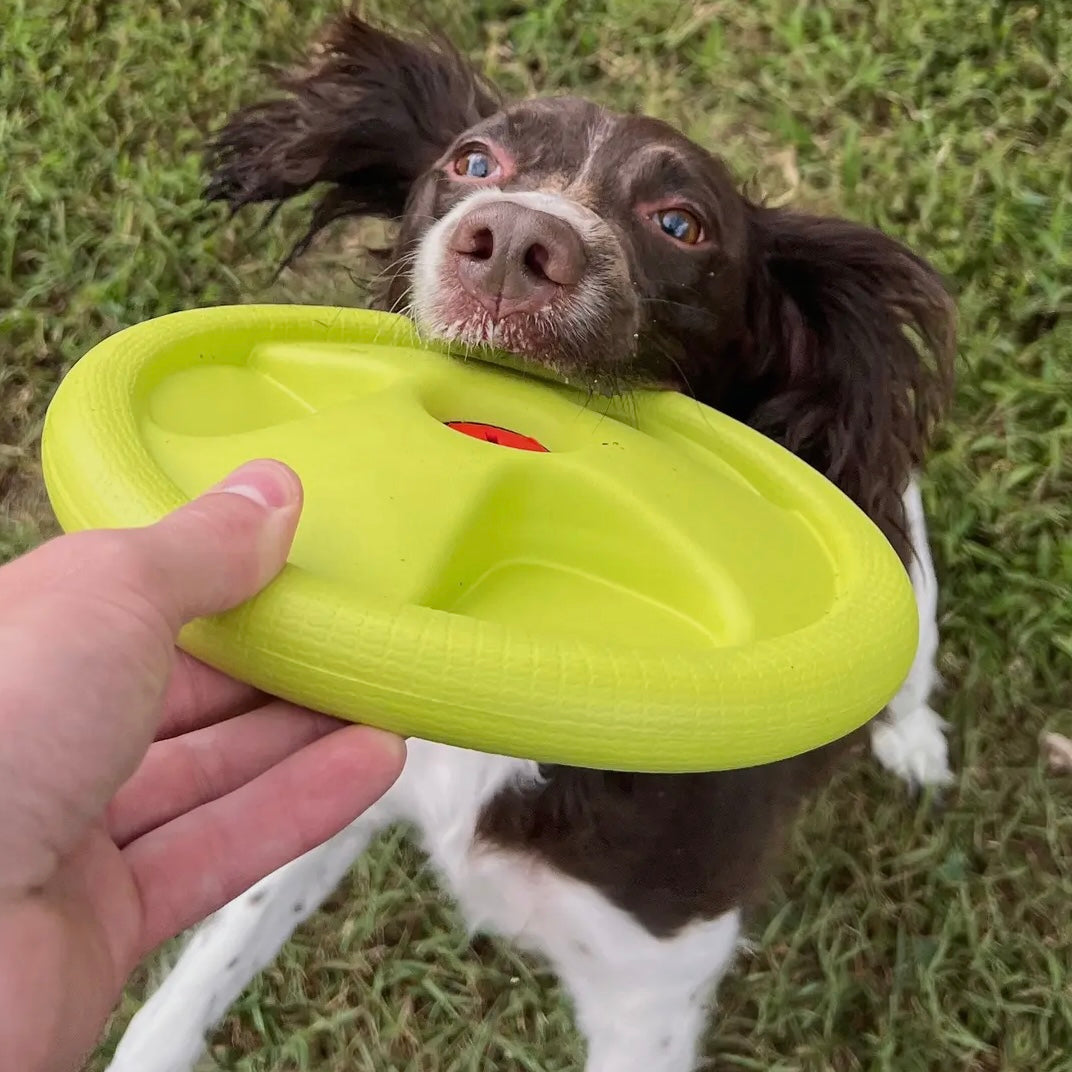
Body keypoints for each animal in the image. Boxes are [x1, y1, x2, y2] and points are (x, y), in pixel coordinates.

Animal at [108, 10, 960, 1072]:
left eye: (681, 223)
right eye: (474, 160)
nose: (515, 240)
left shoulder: (650, 976)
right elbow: (203, 964)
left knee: (914, 673)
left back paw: (915, 741)